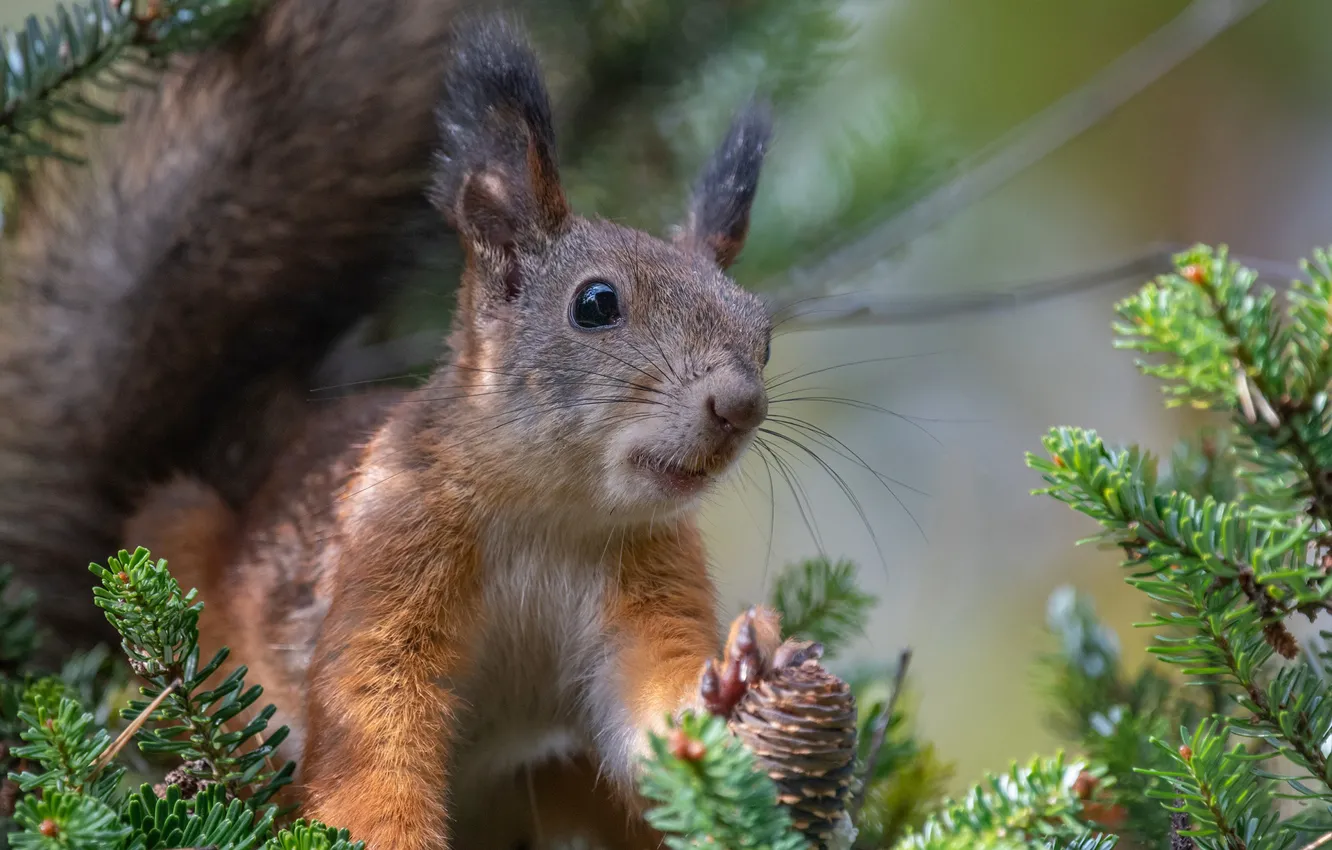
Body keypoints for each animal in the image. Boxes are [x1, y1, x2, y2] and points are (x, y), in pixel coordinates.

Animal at [2, 0, 809, 847]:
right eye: (595, 304)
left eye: (761, 332)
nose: (738, 405)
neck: (554, 513)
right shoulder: (389, 553)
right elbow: (371, 730)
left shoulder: (652, 586)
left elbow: (651, 713)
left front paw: (739, 677)